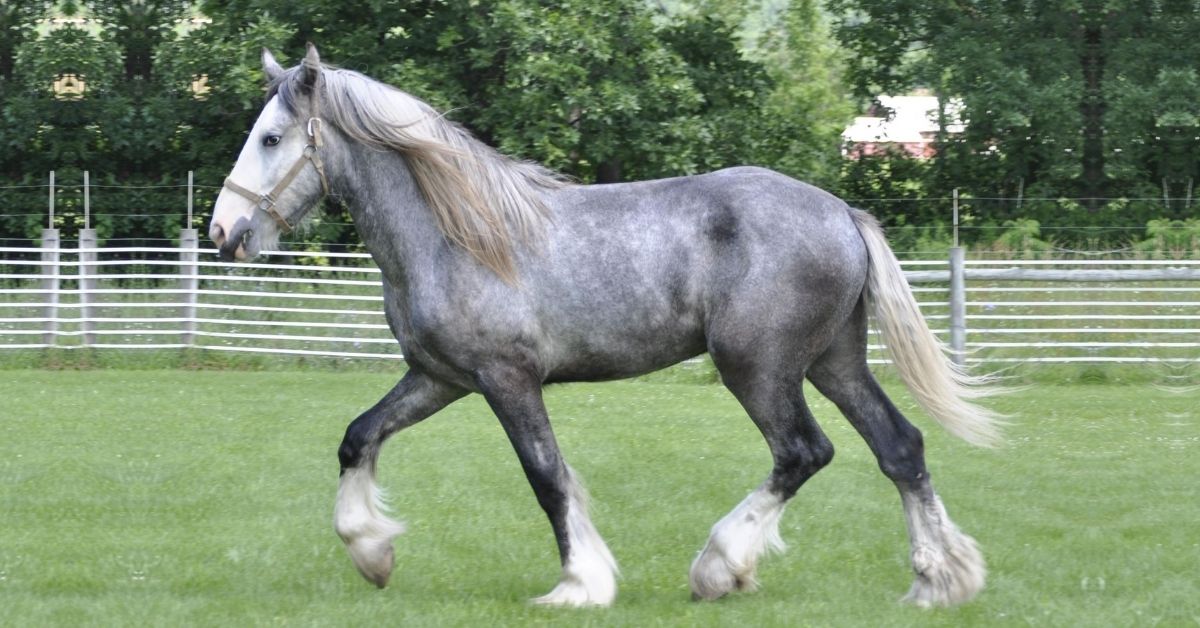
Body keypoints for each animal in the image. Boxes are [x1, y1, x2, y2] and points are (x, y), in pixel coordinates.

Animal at [211, 44, 998, 609]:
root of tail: (842, 213)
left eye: (272, 138)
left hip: (760, 369)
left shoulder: (508, 380)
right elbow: (358, 439)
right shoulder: (440, 379)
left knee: (803, 453)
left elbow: (547, 478)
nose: (225, 231)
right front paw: (372, 553)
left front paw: (578, 584)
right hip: (834, 362)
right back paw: (940, 580)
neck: (455, 236)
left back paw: (720, 568)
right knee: (900, 448)